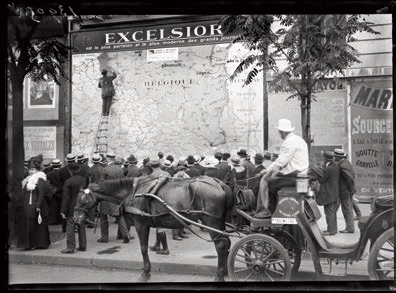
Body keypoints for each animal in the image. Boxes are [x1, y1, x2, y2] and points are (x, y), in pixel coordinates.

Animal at [73, 173, 235, 280]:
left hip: (212, 222)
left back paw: (219, 275)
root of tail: (219, 184)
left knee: (221, 245)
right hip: (219, 223)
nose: (75, 218)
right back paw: (226, 270)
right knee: (227, 243)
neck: (134, 191)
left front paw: (145, 272)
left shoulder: (140, 224)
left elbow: (143, 248)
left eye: (82, 200)